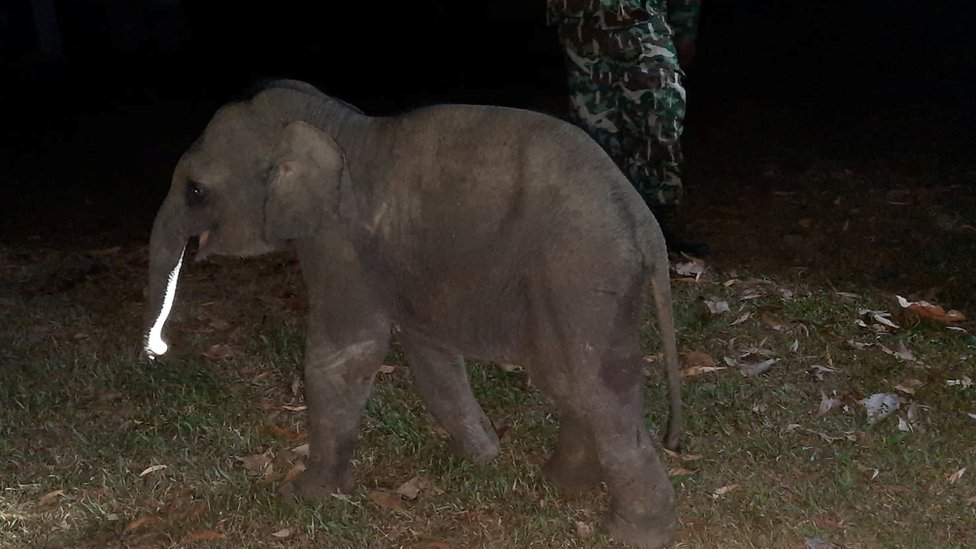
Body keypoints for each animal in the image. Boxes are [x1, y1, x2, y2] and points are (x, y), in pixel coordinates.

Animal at [143, 79, 680, 544]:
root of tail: (644, 221)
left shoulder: (339, 243)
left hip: (579, 274)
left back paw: (634, 534)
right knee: (575, 380)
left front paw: (303, 497)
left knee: (590, 385)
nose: (157, 349)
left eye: (196, 190)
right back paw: (561, 483)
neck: (334, 124)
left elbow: (343, 354)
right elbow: (428, 352)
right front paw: (477, 460)